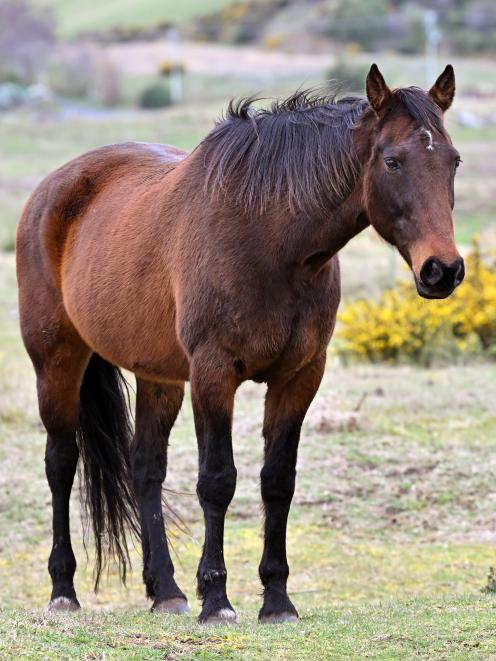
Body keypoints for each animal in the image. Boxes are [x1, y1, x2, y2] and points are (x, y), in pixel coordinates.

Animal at [16, 64, 464, 620]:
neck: (270, 238)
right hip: (57, 360)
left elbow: (277, 481)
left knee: (145, 470)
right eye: (393, 160)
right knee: (61, 463)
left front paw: (276, 599)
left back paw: (166, 591)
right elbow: (217, 480)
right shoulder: (214, 373)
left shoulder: (300, 377)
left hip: (159, 377)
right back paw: (63, 591)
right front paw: (217, 598)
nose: (442, 270)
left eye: (453, 160)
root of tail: (55, 188)